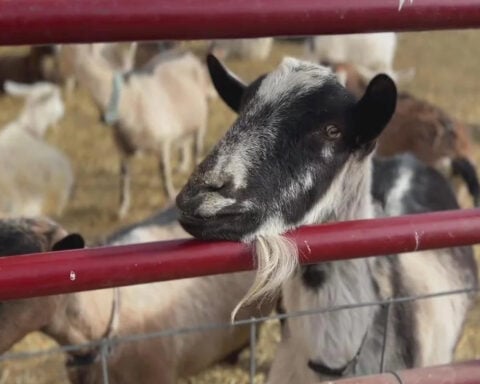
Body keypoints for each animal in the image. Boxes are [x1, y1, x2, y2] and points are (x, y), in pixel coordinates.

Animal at [69, 44, 214, 218]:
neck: (126, 102)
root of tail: (182, 53)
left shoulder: (163, 141)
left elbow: (163, 172)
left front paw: (169, 197)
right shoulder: (122, 148)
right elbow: (123, 177)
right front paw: (122, 208)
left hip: (201, 118)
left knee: (197, 147)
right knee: (184, 142)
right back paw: (182, 165)